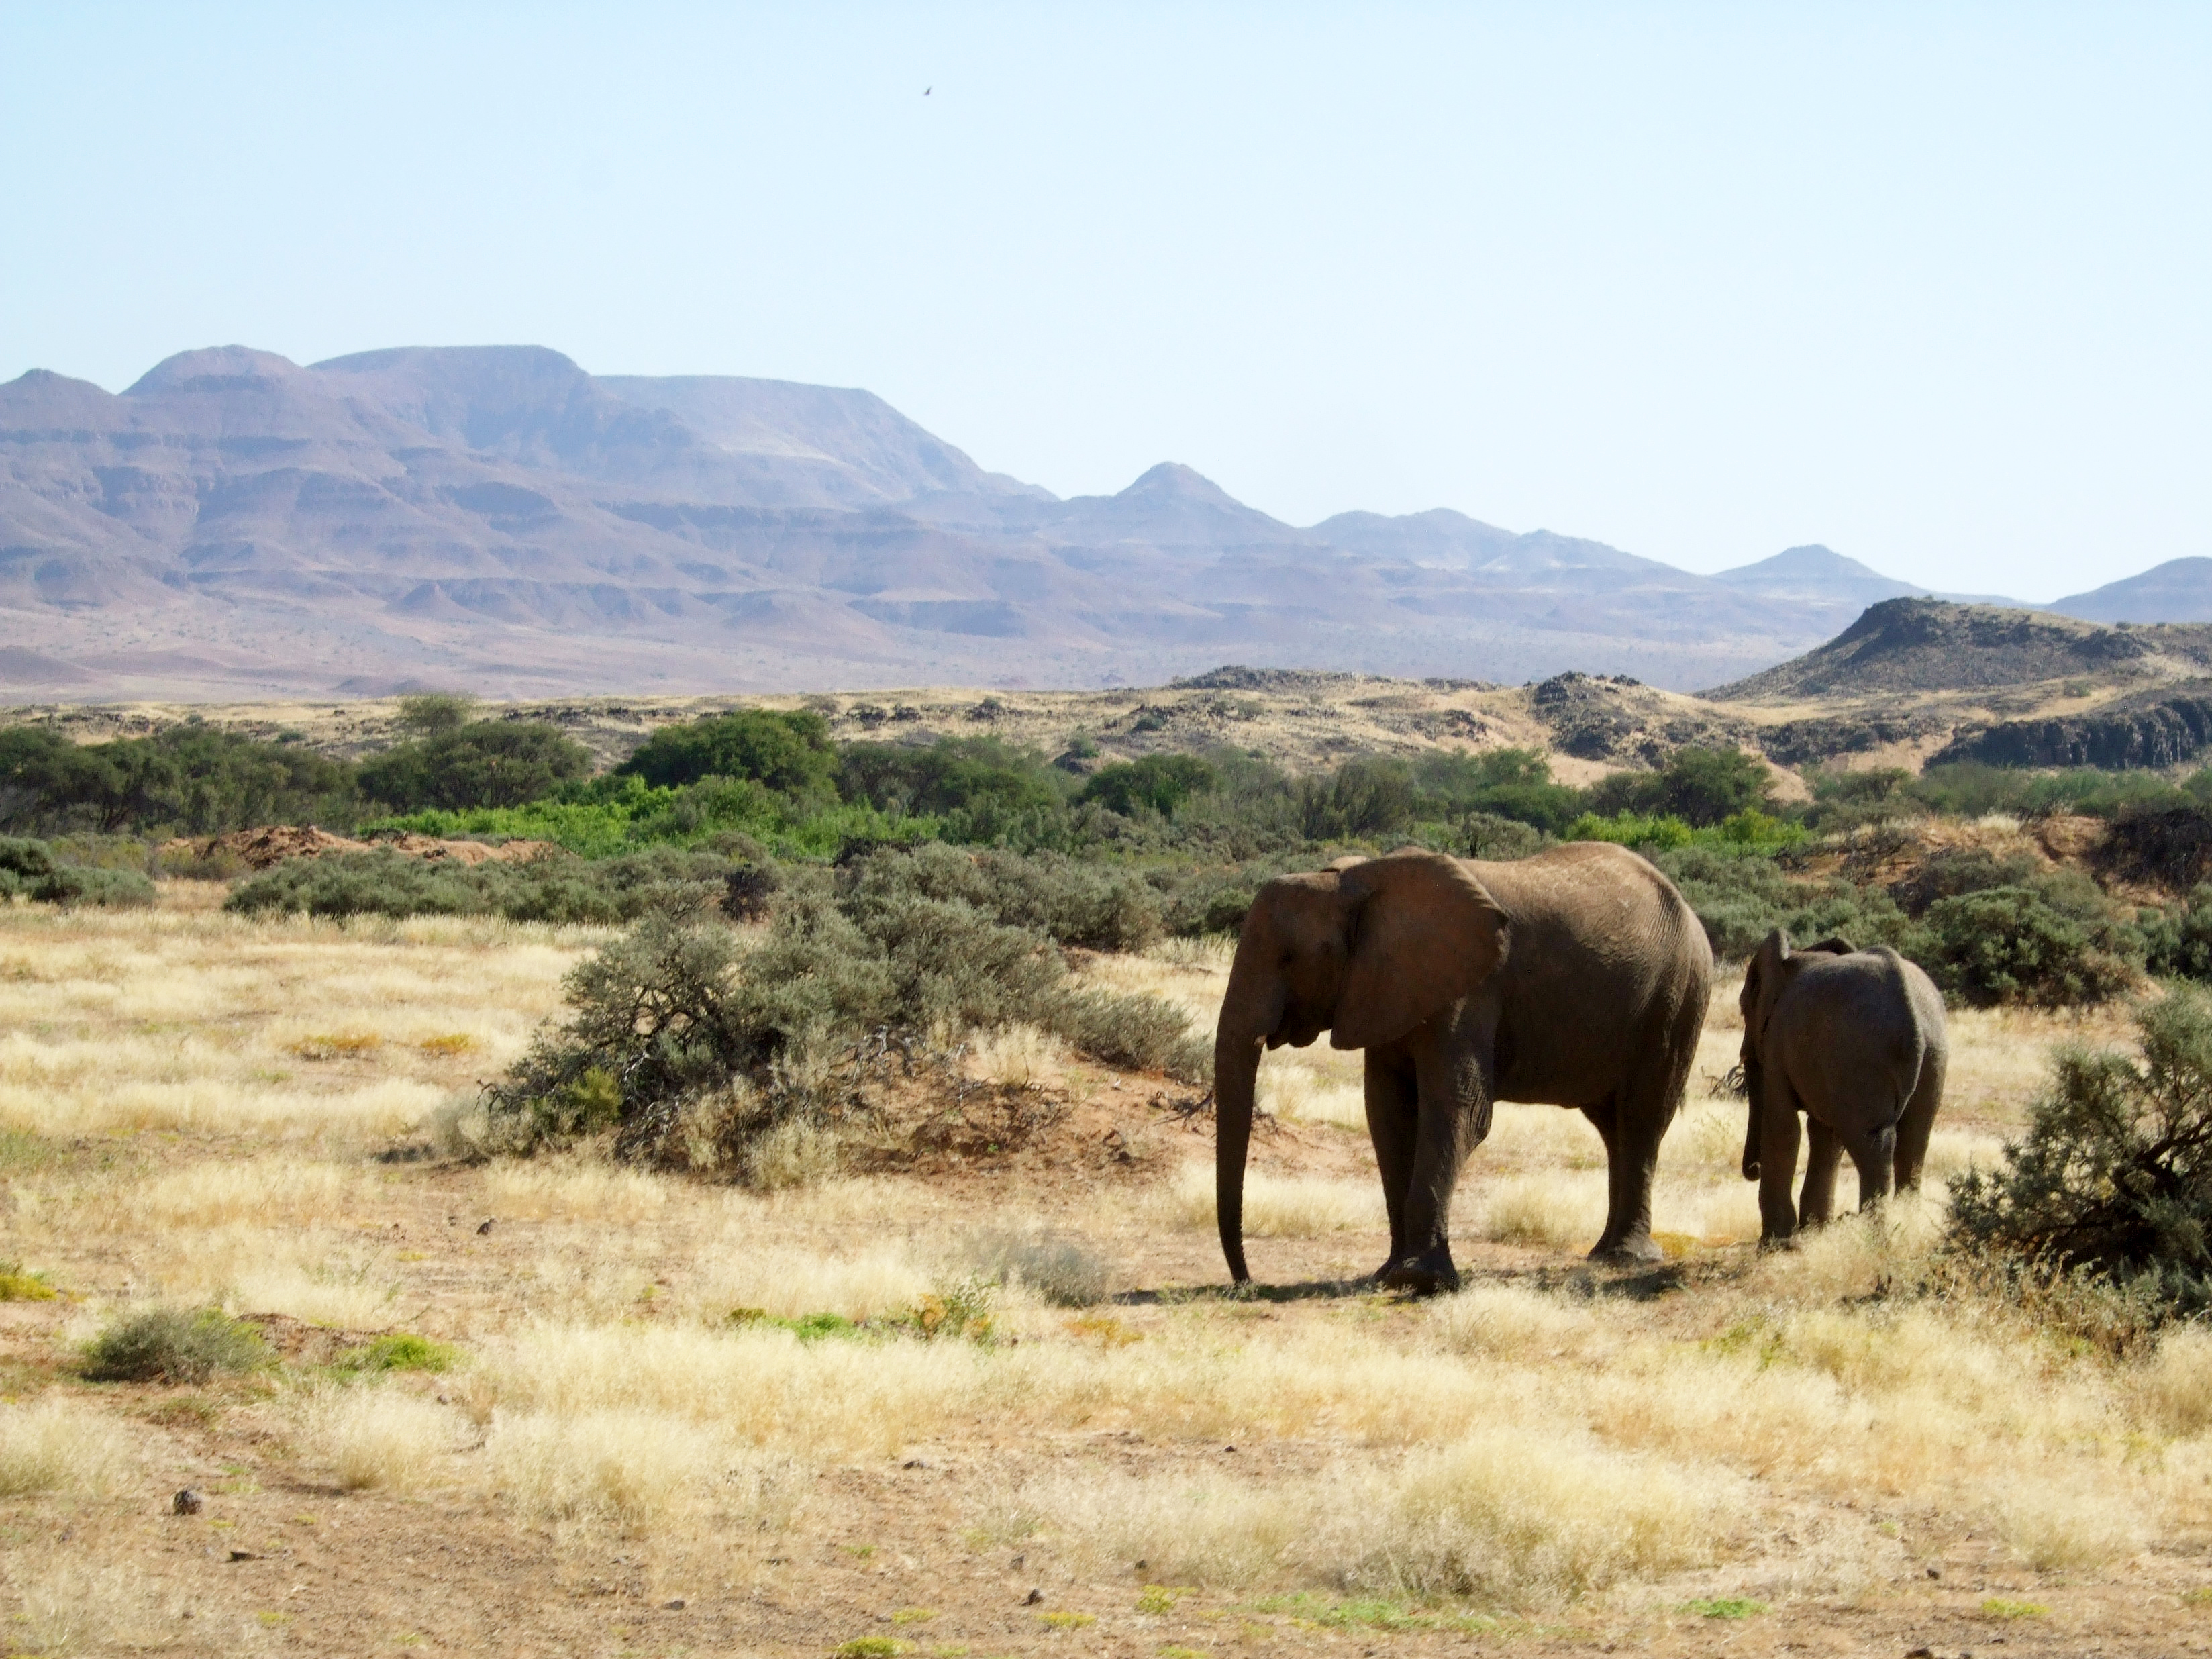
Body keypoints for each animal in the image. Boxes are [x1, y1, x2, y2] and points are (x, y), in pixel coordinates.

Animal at [1213, 843, 1713, 1293]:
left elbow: (1460, 1111)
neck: (1353, 883)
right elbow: (1388, 1113)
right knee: (1613, 1129)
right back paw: (1603, 1254)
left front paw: (1420, 1281)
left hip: (1678, 998)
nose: (1247, 1283)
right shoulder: (1385, 989)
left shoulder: (1468, 990)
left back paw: (1626, 1259)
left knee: (1641, 1118)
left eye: (1288, 959)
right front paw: (1388, 1275)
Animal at [1737, 929, 1948, 1244]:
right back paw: (1905, 1226)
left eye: (1742, 1011)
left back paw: (1876, 1240)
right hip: (1932, 1054)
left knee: (1873, 1145)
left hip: (1861, 1055)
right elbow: (1825, 1135)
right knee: (1914, 1140)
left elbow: (1783, 1127)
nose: (1754, 1170)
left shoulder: (1777, 1042)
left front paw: (1777, 1245)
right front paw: (1814, 1232)